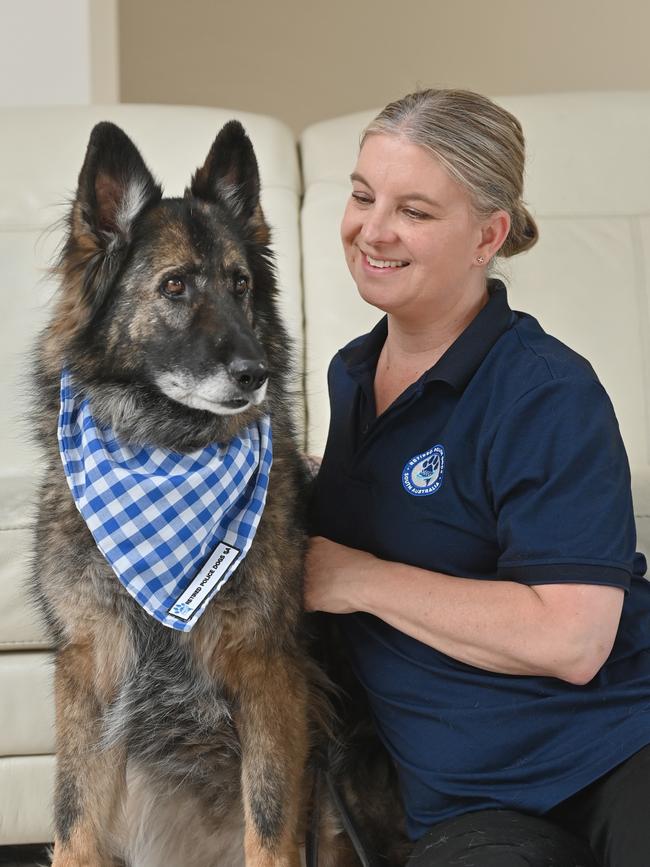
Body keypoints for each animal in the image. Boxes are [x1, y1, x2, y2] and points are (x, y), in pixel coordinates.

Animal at [29, 117, 326, 867]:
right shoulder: (90, 669)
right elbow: (73, 819)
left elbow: (269, 824)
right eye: (174, 285)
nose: (254, 372)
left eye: (241, 283)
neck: (166, 453)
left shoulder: (267, 670)